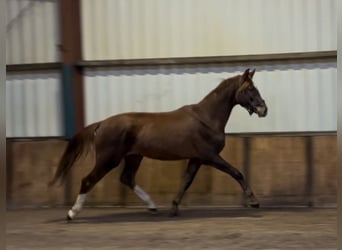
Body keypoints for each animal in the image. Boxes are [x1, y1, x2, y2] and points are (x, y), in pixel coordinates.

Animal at [50, 68, 268, 221]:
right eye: (250, 89)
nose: (263, 109)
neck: (206, 118)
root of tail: (101, 123)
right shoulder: (210, 156)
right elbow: (236, 172)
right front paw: (254, 201)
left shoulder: (196, 159)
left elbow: (186, 182)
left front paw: (173, 208)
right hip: (108, 160)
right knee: (88, 180)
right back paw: (71, 213)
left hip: (134, 157)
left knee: (126, 178)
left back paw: (152, 207)